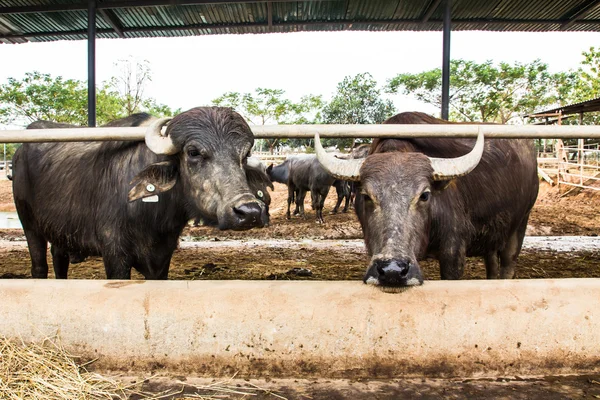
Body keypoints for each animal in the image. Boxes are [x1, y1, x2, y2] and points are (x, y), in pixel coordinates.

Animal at [12, 108, 268, 280]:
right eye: (194, 152)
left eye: (245, 154)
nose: (249, 212)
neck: (153, 216)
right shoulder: (114, 254)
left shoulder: (162, 258)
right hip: (29, 223)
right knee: (39, 266)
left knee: (59, 258)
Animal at [314, 111, 540, 286]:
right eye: (366, 196)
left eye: (424, 195)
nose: (393, 270)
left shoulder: (454, 252)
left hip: (519, 225)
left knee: (508, 265)